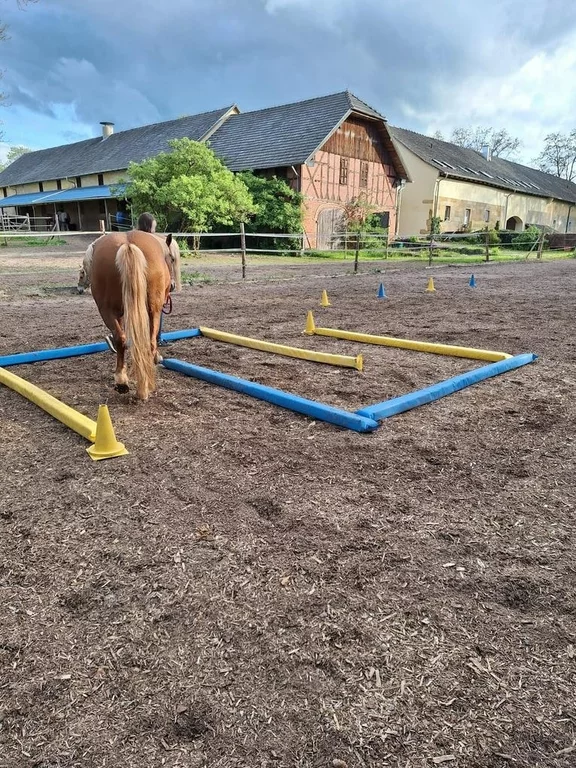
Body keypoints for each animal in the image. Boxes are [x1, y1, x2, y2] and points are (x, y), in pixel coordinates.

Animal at [89, 231, 173, 400]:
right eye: (171, 259)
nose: (172, 285)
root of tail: (128, 244)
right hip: (151, 310)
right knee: (146, 342)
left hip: (110, 310)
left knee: (123, 339)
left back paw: (124, 381)